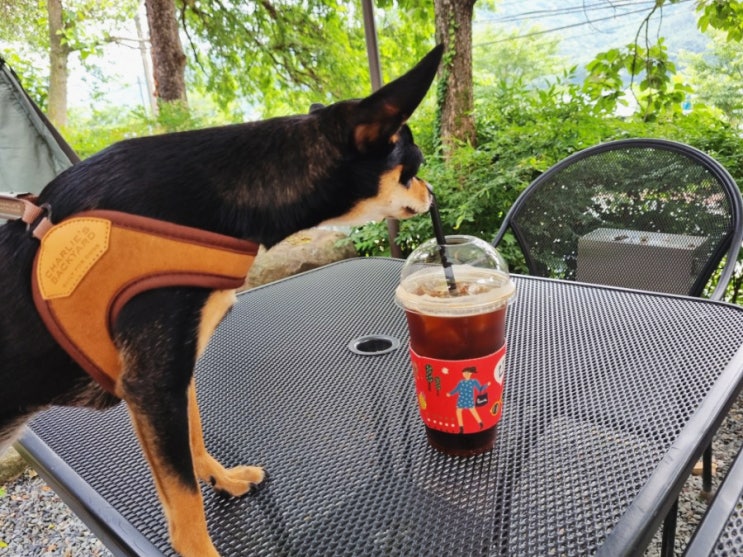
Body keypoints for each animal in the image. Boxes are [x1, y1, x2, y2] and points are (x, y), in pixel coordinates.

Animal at [0, 45, 442, 552]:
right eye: (414, 167)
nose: (432, 192)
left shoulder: (175, 376)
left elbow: (194, 439)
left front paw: (221, 478)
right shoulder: (152, 386)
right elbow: (185, 506)